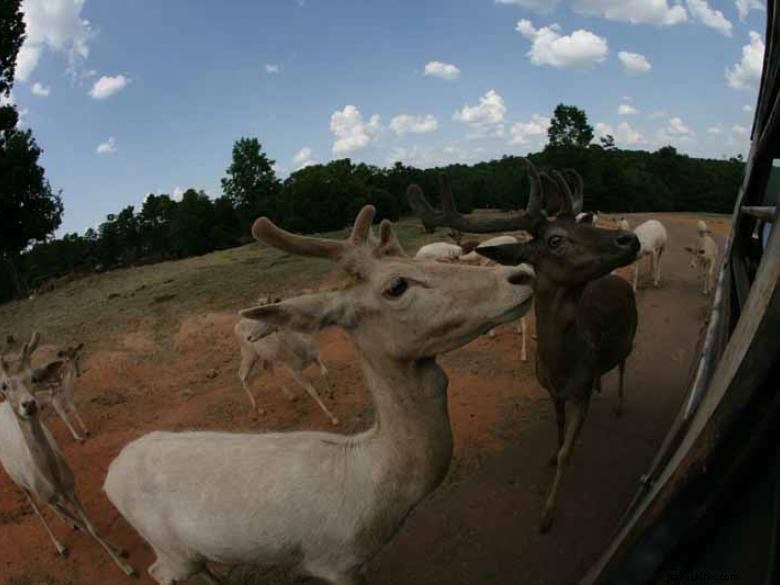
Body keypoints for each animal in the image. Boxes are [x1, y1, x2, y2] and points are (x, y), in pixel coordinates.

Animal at [0, 334, 137, 576]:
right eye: (4, 385)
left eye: (33, 377)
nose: (29, 404)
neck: (52, 478)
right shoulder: (46, 495)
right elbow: (80, 524)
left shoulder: (71, 486)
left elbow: (91, 527)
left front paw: (122, 556)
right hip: (17, 481)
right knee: (37, 509)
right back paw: (60, 545)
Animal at [235, 294, 338, 422]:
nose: (249, 337)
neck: (300, 351)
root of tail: (236, 327)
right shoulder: (294, 370)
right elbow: (312, 391)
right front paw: (333, 418)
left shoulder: (315, 355)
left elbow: (325, 372)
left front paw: (331, 393)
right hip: (249, 355)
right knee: (242, 375)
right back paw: (259, 409)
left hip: (266, 355)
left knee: (267, 367)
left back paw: (291, 396)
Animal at [408, 159, 640, 528]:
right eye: (556, 239)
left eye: (581, 223)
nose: (629, 239)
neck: (562, 366)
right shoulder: (552, 391)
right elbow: (558, 433)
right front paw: (551, 456)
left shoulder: (580, 393)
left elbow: (568, 452)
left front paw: (547, 514)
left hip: (630, 336)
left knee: (623, 363)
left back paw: (618, 400)